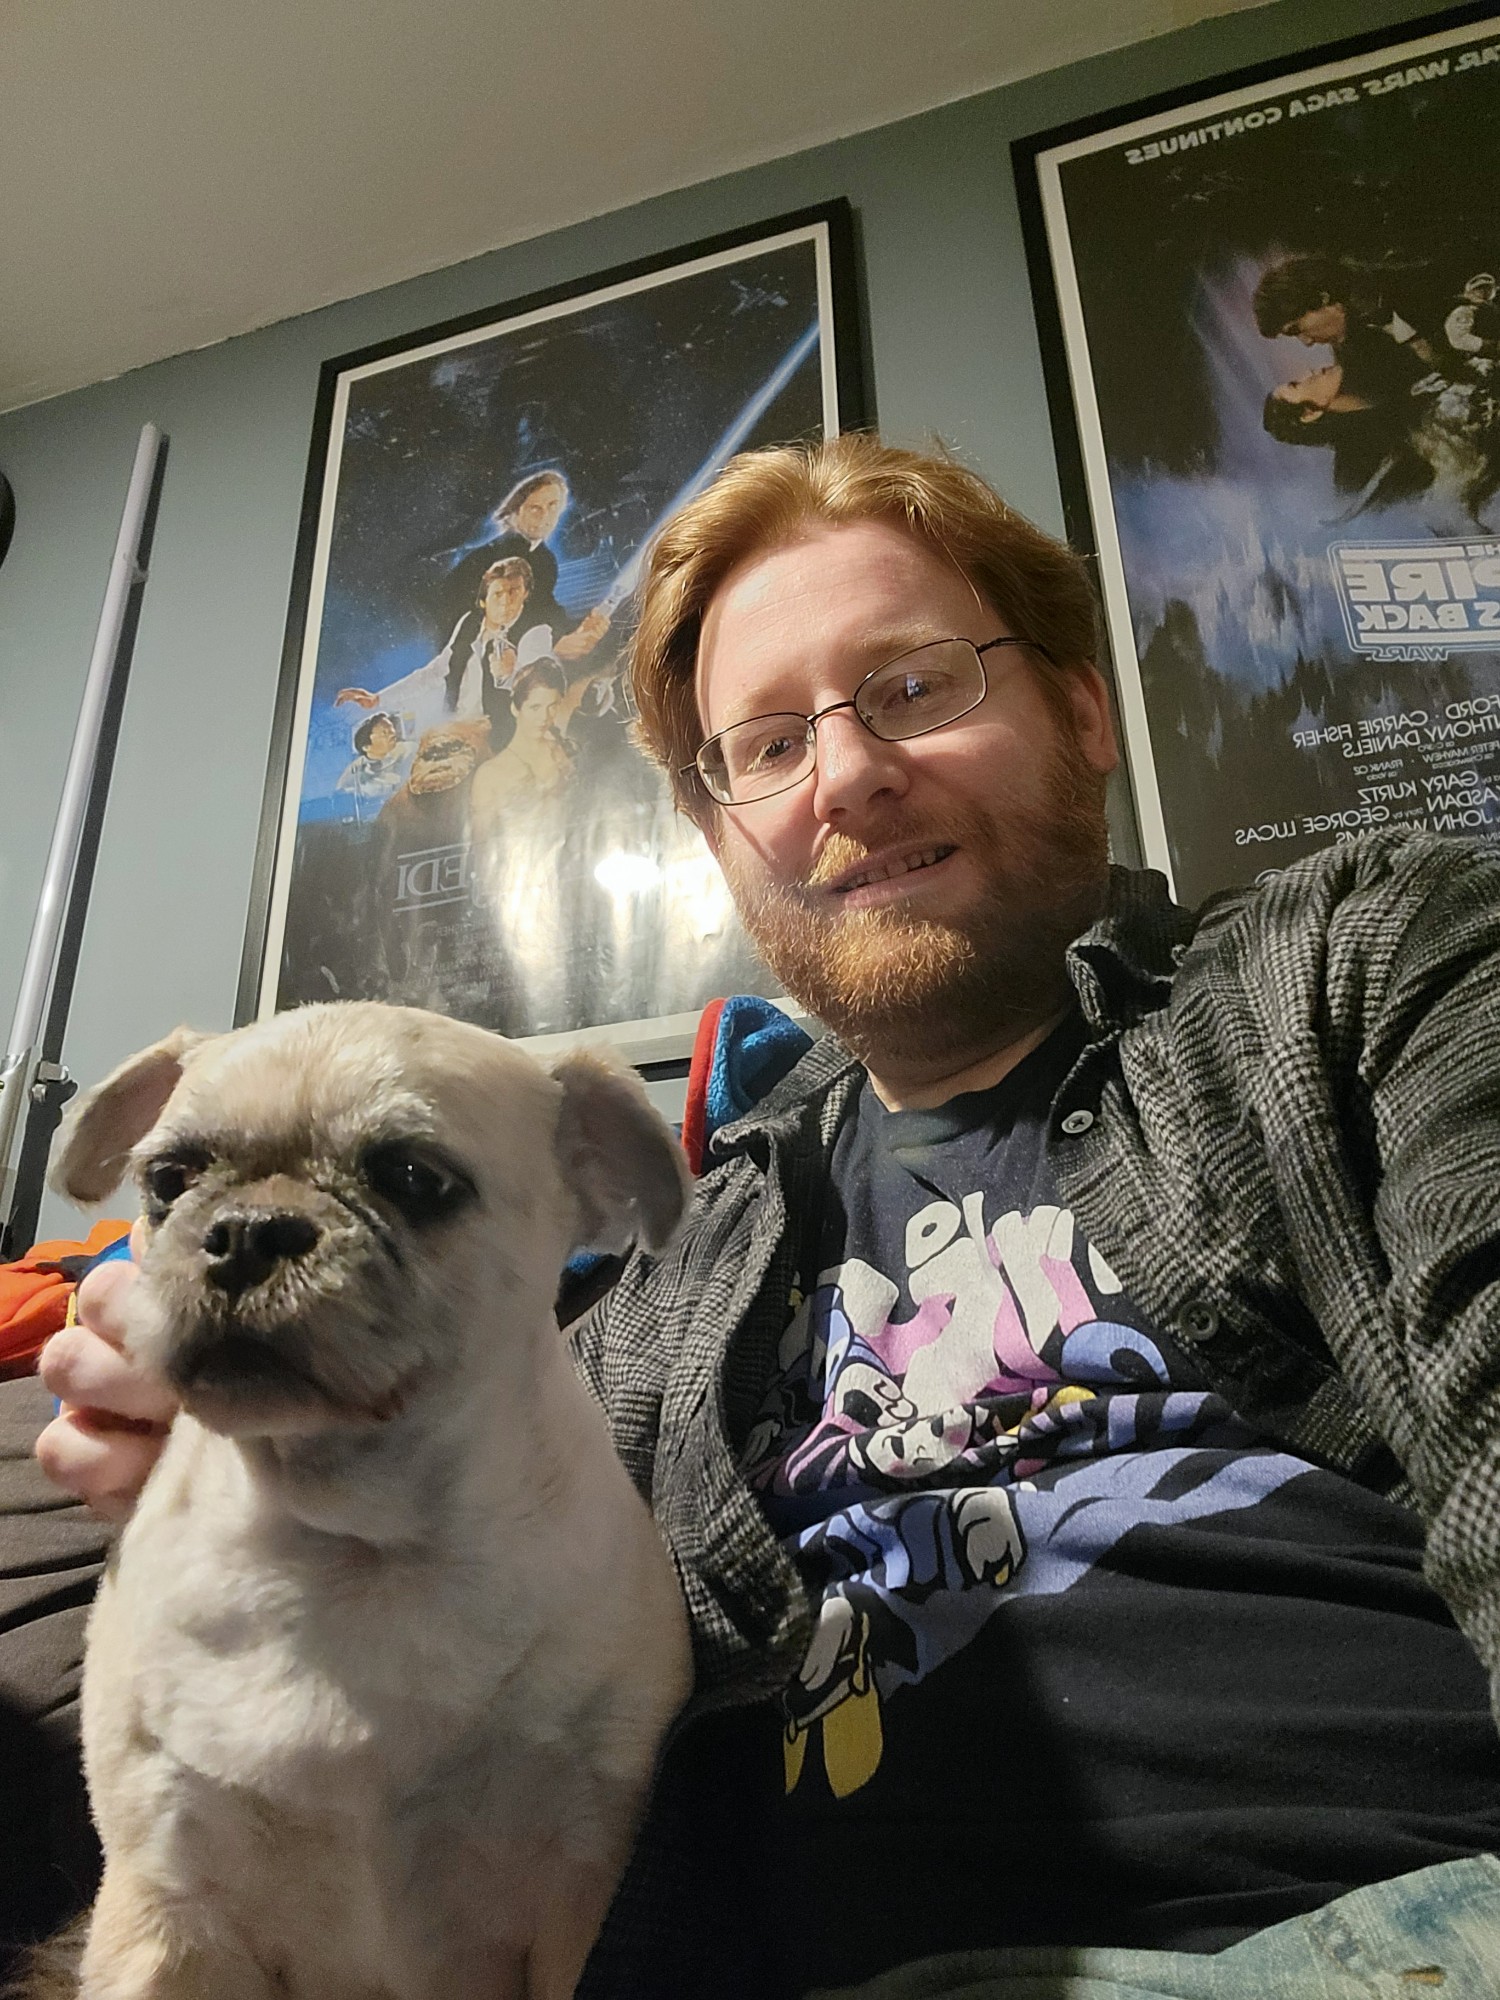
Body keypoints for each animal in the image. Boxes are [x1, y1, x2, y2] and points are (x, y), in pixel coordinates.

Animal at [29, 1001, 692, 2000]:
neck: (351, 1541)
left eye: (414, 1178)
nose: (248, 1230)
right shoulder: (169, 1904)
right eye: (169, 1180)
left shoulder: (575, 1891)